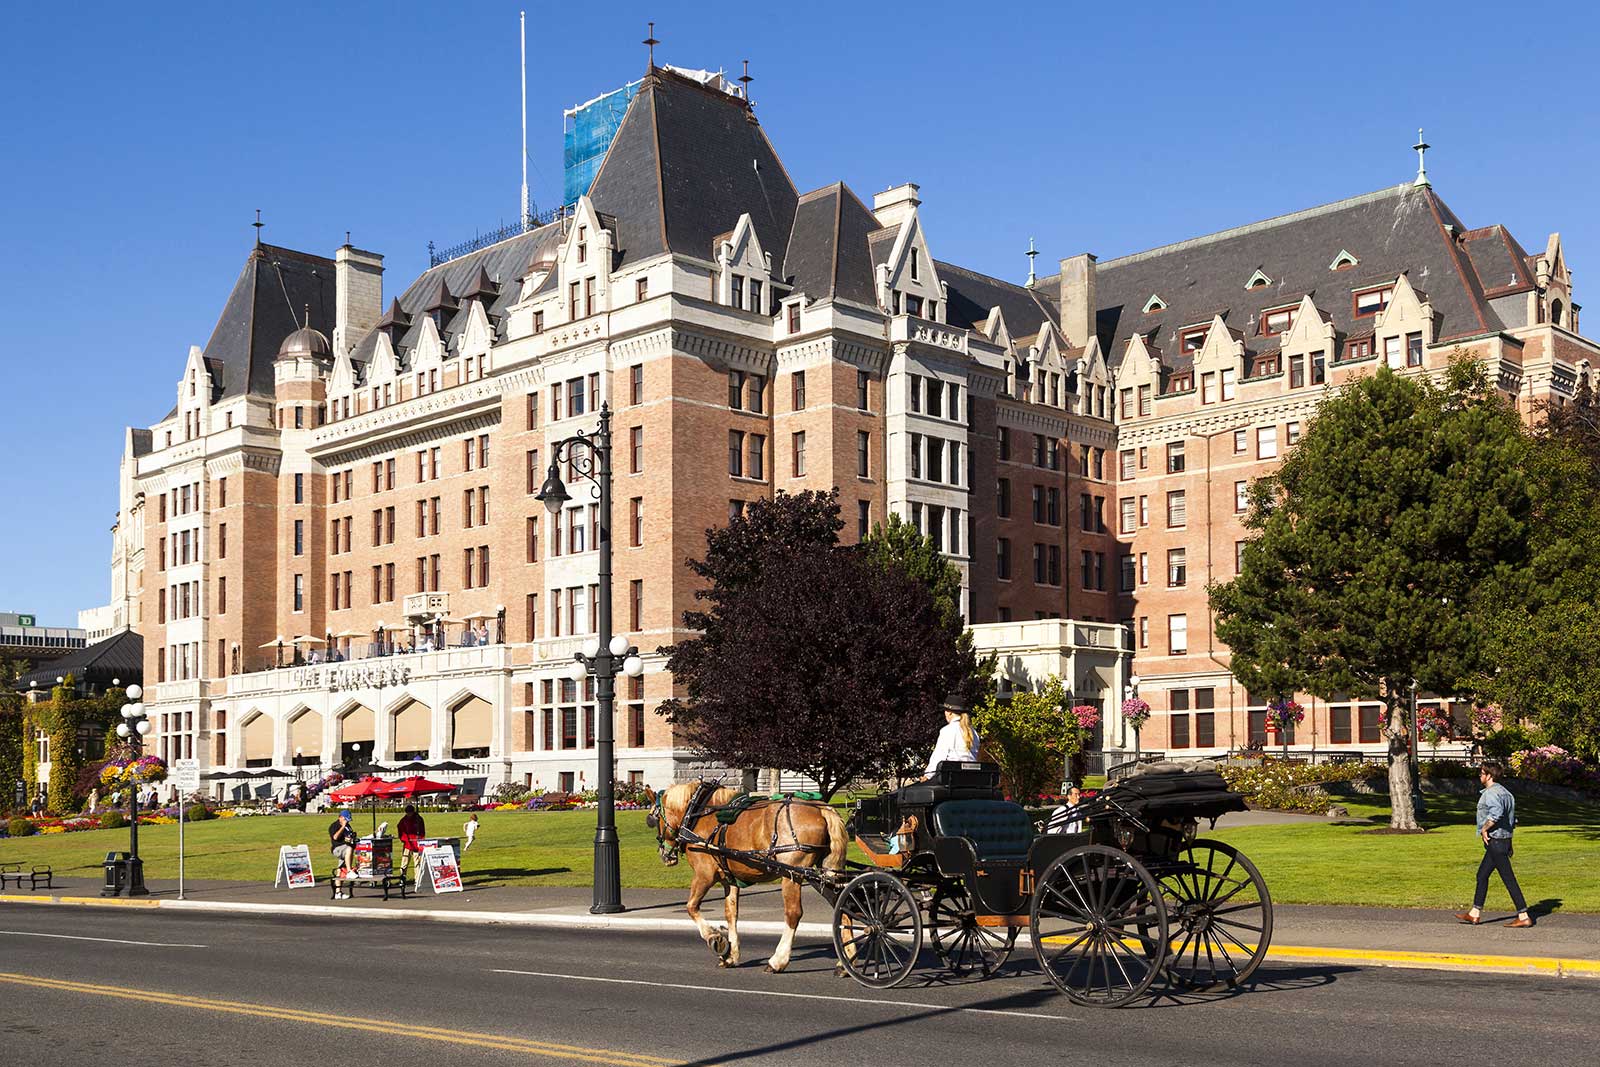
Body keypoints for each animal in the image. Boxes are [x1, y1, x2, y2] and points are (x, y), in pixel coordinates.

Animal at [649, 780, 851, 972]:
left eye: (653, 818)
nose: (663, 855)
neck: (699, 814)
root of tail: (821, 808)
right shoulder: (729, 880)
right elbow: (731, 913)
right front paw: (731, 955)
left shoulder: (704, 875)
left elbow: (691, 907)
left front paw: (715, 938)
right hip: (826, 872)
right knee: (843, 905)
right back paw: (845, 961)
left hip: (792, 873)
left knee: (794, 913)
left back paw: (778, 961)